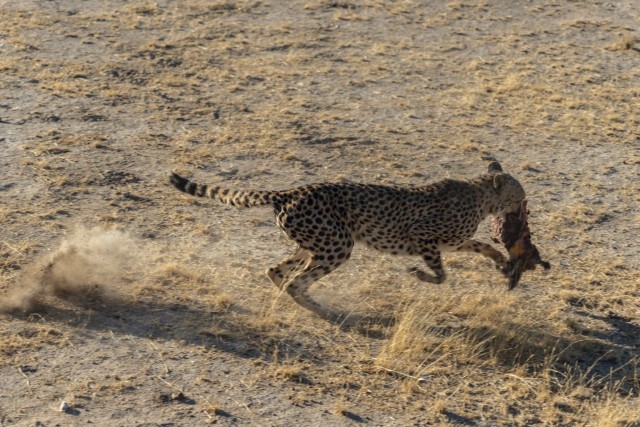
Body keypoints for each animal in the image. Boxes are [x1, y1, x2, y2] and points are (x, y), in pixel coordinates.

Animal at [170, 162, 524, 322]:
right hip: (337, 245)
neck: (481, 197)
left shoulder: (453, 241)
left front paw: (501, 262)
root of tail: (287, 192)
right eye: (519, 196)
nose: (524, 207)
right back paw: (325, 312)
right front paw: (419, 274)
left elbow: (481, 246)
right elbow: (441, 274)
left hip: (315, 243)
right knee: (297, 281)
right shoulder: (421, 236)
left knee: (276, 271)